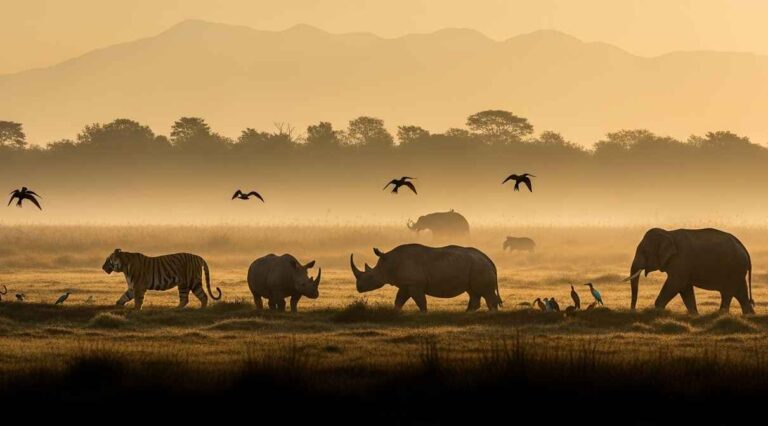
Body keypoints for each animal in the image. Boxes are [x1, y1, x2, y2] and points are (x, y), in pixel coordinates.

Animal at [350, 244, 501, 312]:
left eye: (370, 277)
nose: (358, 288)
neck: (388, 264)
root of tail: (488, 259)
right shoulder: (406, 284)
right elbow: (399, 300)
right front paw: (396, 312)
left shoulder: (415, 284)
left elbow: (421, 301)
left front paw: (424, 313)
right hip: (475, 266)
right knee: (473, 291)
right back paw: (468, 312)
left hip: (479, 266)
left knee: (484, 292)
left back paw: (491, 313)